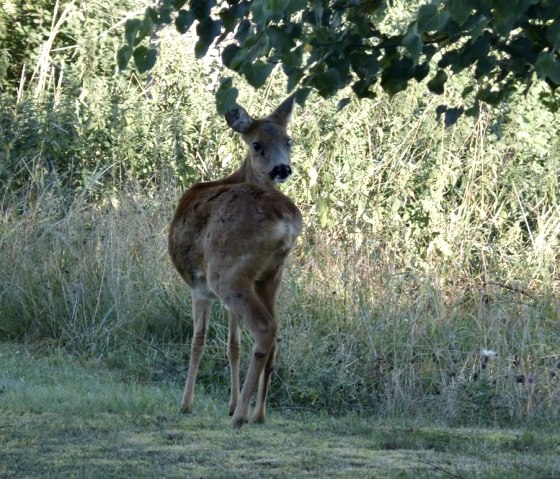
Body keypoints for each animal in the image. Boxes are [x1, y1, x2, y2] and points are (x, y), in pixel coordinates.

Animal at [168, 95, 304, 430]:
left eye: (288, 139)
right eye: (256, 144)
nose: (282, 168)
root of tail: (286, 221)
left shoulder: (199, 286)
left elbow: (198, 340)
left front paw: (186, 404)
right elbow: (234, 345)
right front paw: (228, 403)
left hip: (226, 273)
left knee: (266, 328)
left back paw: (241, 416)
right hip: (270, 274)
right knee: (275, 334)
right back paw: (258, 413)